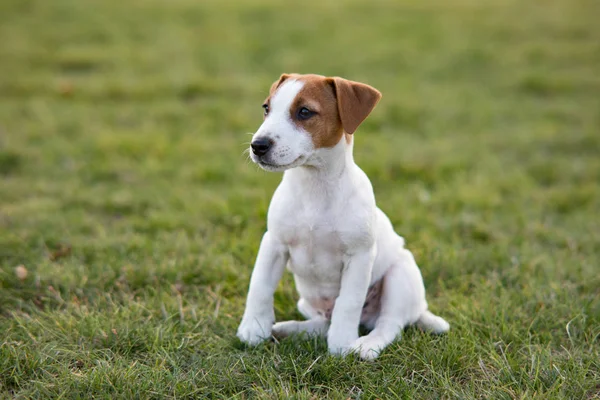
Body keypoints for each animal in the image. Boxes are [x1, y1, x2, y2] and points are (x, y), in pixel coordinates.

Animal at [237, 72, 448, 360]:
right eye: (266, 108)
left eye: (304, 112)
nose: (257, 145)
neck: (315, 186)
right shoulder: (274, 244)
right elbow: (259, 287)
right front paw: (254, 328)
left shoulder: (359, 257)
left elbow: (348, 303)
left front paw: (341, 345)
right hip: (306, 302)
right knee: (323, 322)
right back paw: (289, 329)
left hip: (400, 275)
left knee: (390, 324)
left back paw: (366, 345)